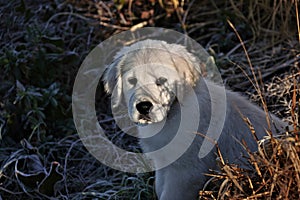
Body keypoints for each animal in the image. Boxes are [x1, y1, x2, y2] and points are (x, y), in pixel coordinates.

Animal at [102, 39, 286, 199]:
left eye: (161, 81)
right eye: (131, 81)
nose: (144, 107)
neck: (173, 112)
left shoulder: (186, 173)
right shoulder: (164, 164)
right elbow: (159, 189)